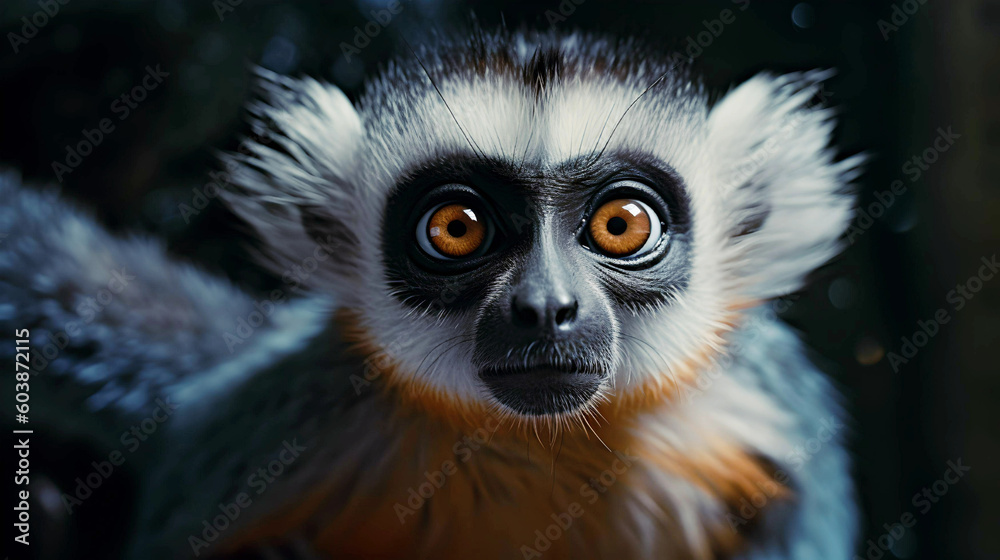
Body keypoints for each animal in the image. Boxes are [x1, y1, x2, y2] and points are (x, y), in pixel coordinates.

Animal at [0, 28, 863, 560]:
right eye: (456, 228)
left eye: (621, 224)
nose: (546, 308)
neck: (536, 441)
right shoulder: (280, 417)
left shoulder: (775, 410)